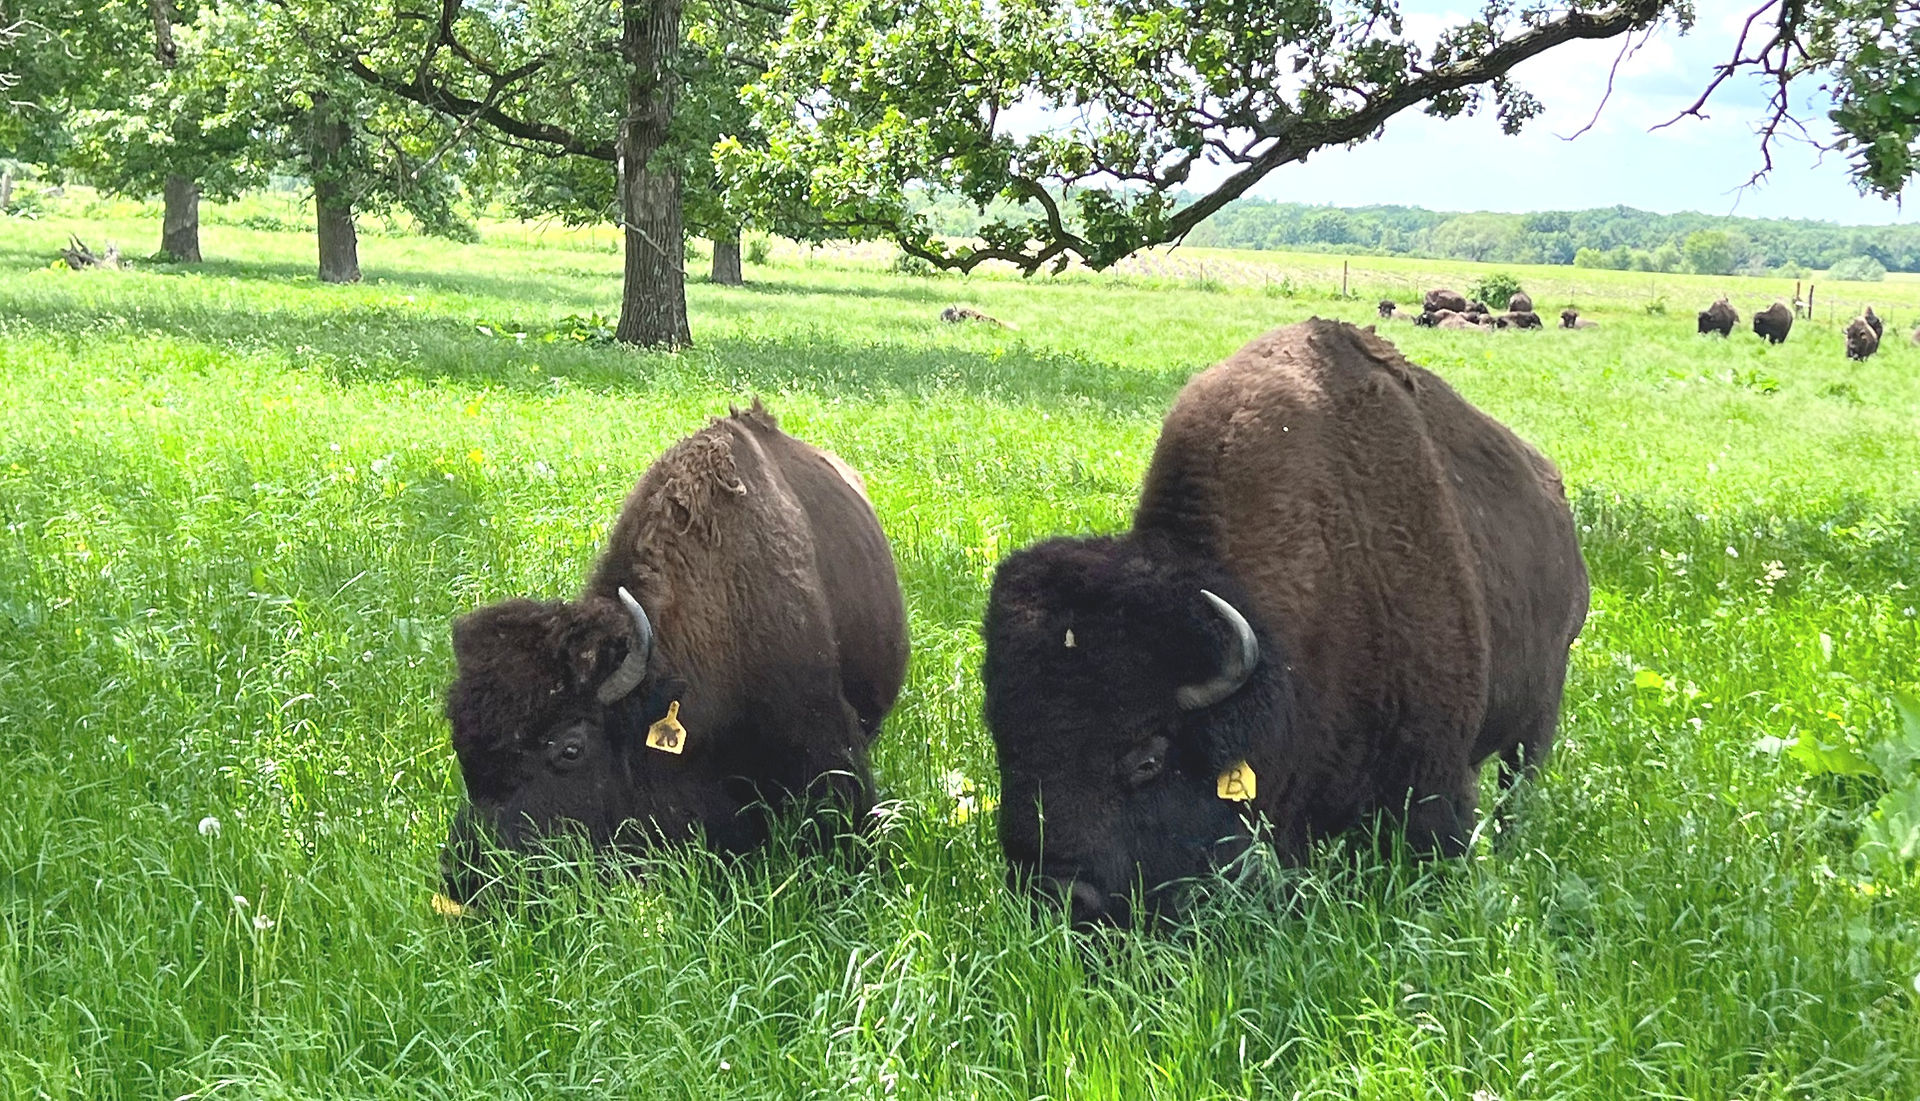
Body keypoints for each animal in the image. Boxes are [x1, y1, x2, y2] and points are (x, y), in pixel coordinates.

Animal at [981, 319, 1590, 927]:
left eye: (1148, 759)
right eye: (1003, 741)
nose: (1055, 893)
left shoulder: (1437, 783)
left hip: (1539, 714)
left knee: (1518, 787)